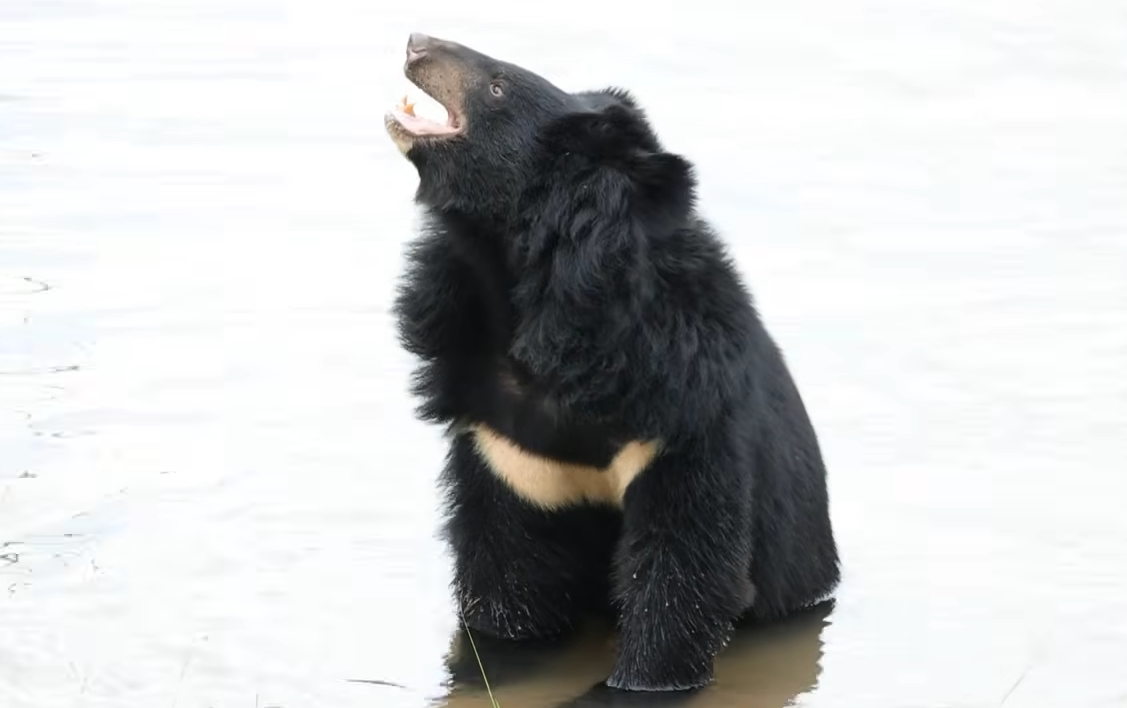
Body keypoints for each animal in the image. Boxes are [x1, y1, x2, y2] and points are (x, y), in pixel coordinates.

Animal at [385, 32, 840, 694]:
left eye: (496, 85)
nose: (416, 43)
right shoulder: (505, 444)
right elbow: (510, 577)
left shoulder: (682, 413)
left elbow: (683, 576)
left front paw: (635, 685)